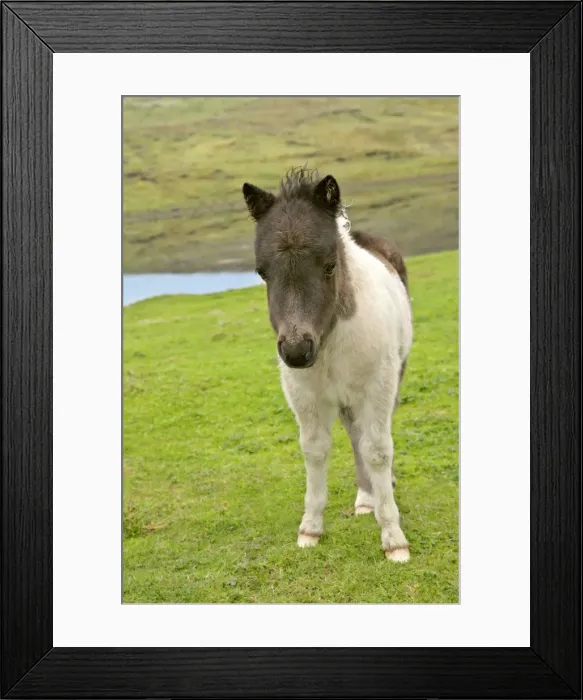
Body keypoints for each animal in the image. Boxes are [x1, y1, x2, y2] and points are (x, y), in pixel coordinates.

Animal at [242, 167, 412, 562]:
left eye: (330, 265)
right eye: (262, 272)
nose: (296, 352)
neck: (331, 340)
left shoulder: (378, 387)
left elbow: (378, 450)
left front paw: (394, 539)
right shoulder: (305, 395)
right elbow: (316, 449)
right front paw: (310, 529)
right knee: (354, 434)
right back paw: (365, 499)